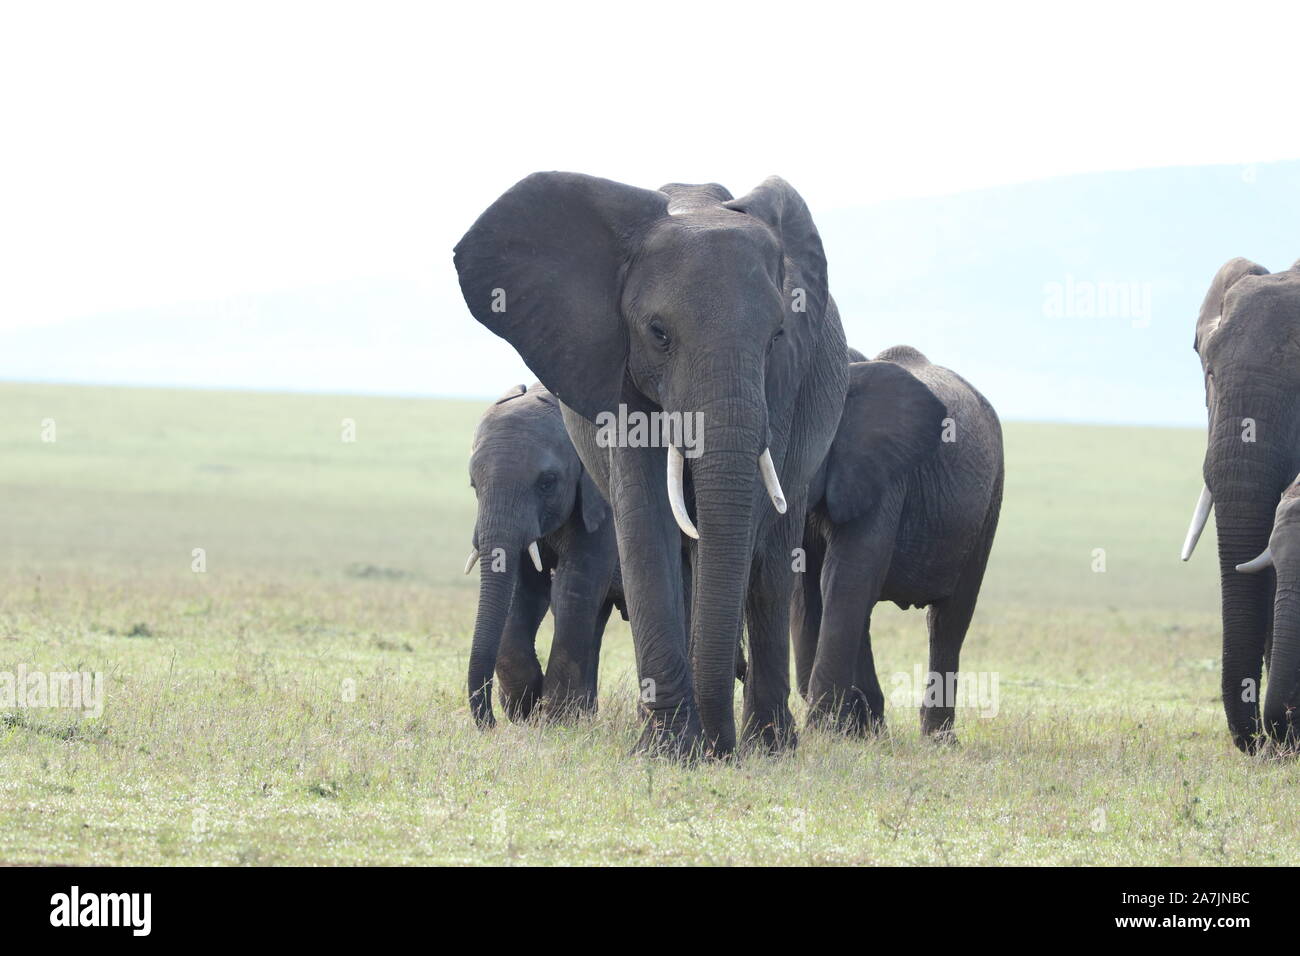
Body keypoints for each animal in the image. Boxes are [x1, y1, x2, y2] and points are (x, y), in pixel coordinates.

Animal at [462, 382, 624, 723]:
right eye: (473, 485)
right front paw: (524, 707)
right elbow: (523, 592)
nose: (489, 724)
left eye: (547, 483)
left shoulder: (602, 501)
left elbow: (572, 588)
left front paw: (555, 718)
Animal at [790, 345, 1003, 738]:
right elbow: (806, 587)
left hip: (989, 500)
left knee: (949, 620)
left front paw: (825, 732)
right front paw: (849, 729)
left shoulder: (885, 475)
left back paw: (937, 740)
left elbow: (845, 577)